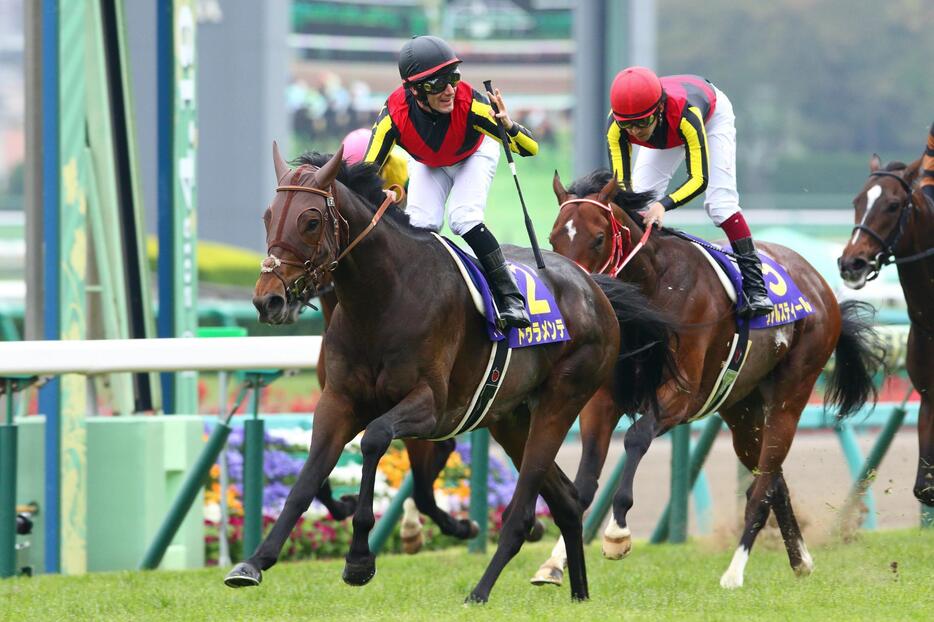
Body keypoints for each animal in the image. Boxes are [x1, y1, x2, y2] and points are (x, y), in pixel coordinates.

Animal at [227, 147, 680, 604]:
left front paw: (359, 559)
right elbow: (307, 482)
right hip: (510, 419)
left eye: (311, 221)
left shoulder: (431, 407)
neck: (384, 299)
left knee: (522, 510)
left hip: (561, 401)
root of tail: (594, 287)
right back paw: (578, 593)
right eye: (269, 216)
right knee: (567, 500)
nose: (268, 299)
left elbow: (374, 439)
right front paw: (255, 562)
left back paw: (481, 590)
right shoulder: (339, 401)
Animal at [540, 171, 884, 588]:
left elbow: (636, 438)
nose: (581, 295)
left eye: (598, 237)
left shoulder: (682, 393)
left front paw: (617, 534)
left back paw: (735, 572)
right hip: (742, 410)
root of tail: (819, 284)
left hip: (791, 394)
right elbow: (586, 479)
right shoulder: (603, 399)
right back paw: (800, 559)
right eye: (553, 239)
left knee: (761, 488)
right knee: (773, 480)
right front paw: (554, 563)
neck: (653, 289)